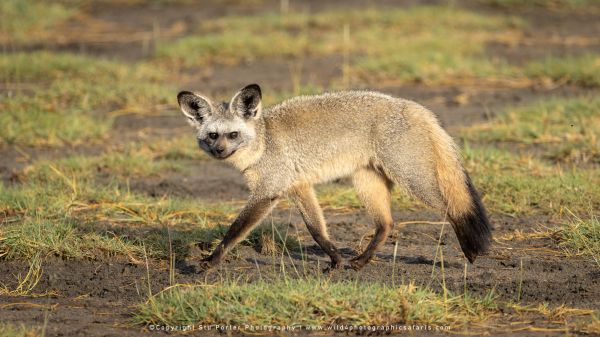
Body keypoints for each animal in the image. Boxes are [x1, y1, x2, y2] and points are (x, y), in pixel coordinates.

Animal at [176, 84, 490, 270]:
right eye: (212, 135)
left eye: (232, 135)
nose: (218, 151)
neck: (264, 141)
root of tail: (414, 106)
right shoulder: (299, 187)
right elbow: (317, 230)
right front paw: (336, 259)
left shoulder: (268, 192)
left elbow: (234, 231)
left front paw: (212, 260)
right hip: (367, 183)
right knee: (386, 224)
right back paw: (361, 261)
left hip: (413, 181)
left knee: (452, 207)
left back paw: (470, 251)